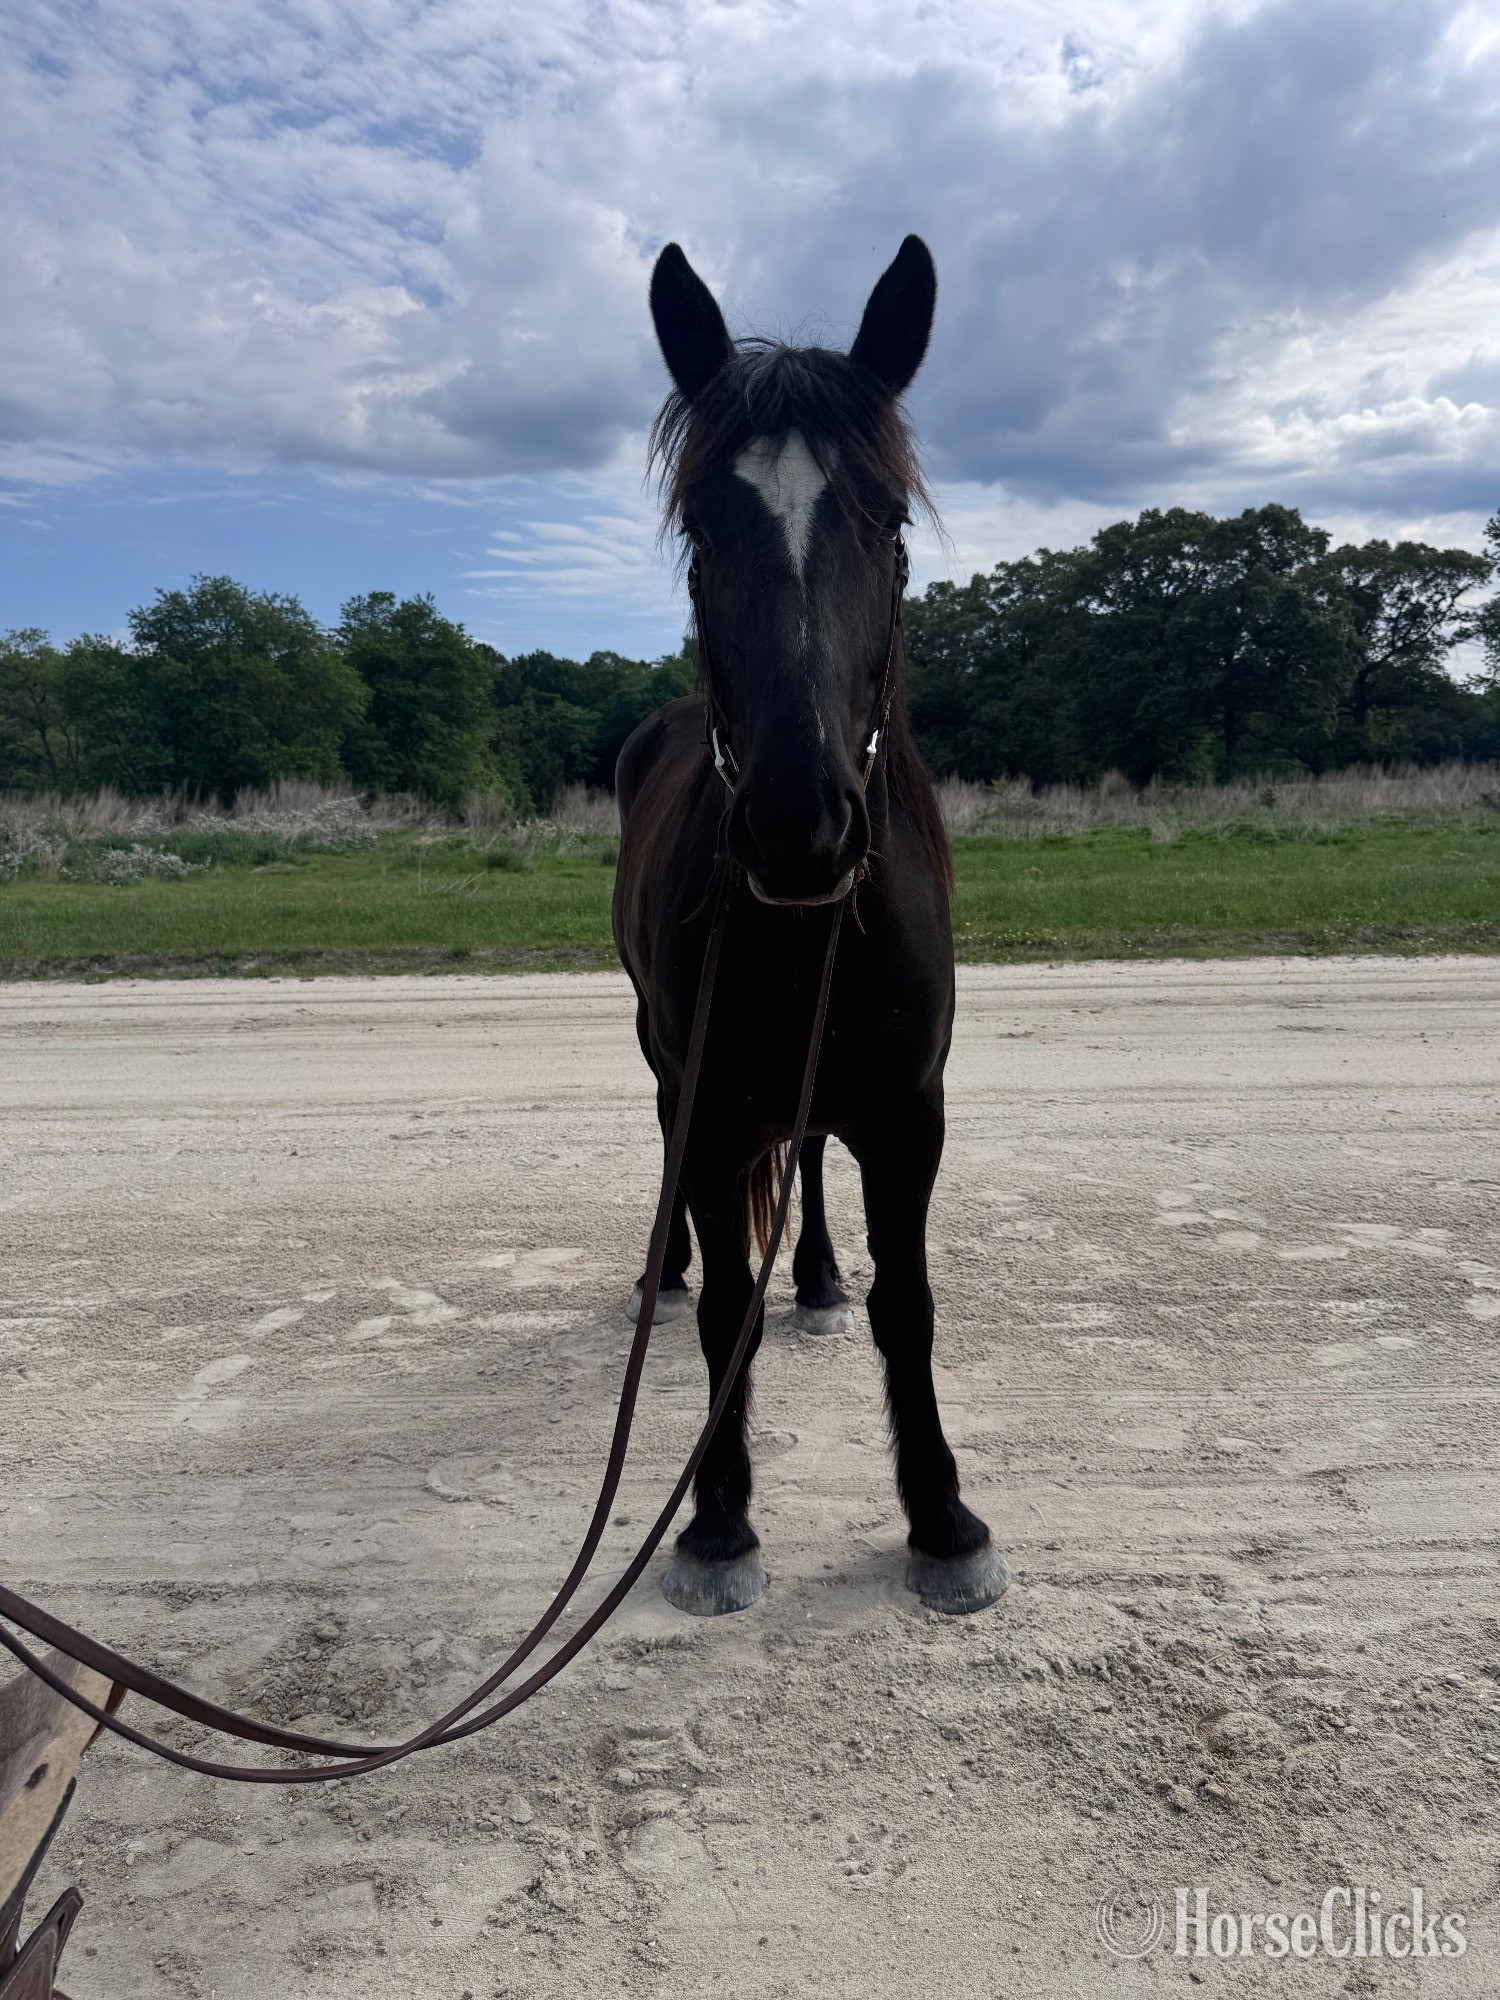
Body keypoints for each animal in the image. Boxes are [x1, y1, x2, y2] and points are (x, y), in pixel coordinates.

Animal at [612, 236, 1010, 1620]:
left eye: (884, 520)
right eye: (703, 524)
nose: (799, 823)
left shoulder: (910, 1106)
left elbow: (912, 1301)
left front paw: (942, 1515)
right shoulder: (713, 1097)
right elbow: (724, 1305)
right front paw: (720, 1517)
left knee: (815, 1162)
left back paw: (821, 1273)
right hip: (665, 1060)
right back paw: (664, 1265)